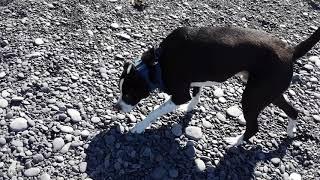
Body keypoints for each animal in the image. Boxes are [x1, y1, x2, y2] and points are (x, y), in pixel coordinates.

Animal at [114, 26, 318, 148]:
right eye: (120, 90)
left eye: (129, 94)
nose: (116, 107)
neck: (156, 63)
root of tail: (290, 52)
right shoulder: (195, 80)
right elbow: (196, 93)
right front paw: (190, 108)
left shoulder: (180, 94)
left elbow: (155, 111)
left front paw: (139, 127)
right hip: (269, 93)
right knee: (293, 111)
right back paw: (290, 132)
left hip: (252, 98)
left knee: (253, 127)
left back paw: (235, 142)